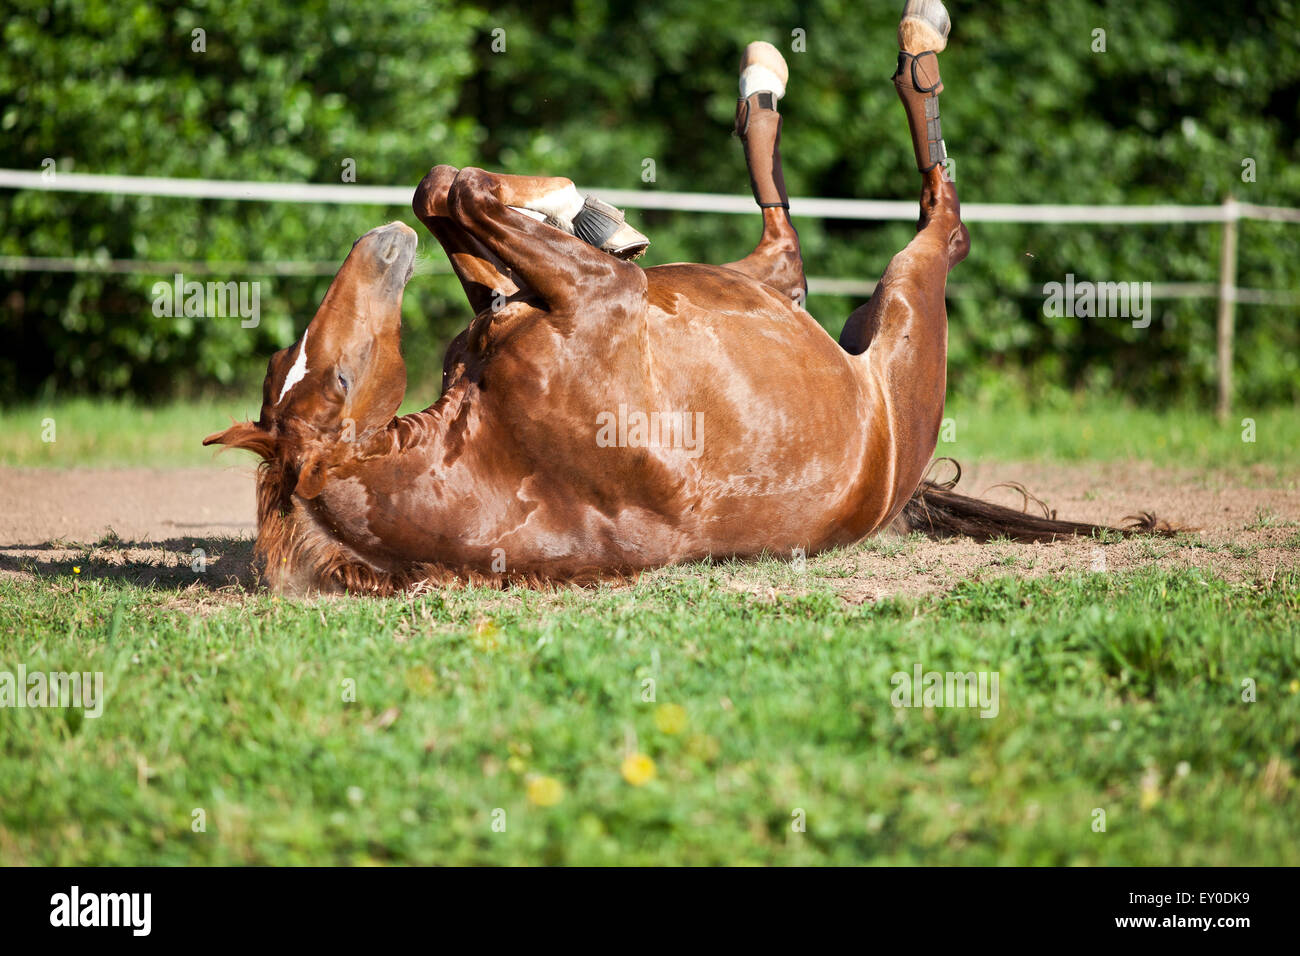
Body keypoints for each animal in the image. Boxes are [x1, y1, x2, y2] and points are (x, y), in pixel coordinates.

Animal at [205, 1, 1164, 595]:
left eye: (302, 365)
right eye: (332, 378)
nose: (378, 249)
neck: (498, 457)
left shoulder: (525, 304)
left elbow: (445, 193)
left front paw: (578, 208)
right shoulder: (602, 296)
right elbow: (463, 193)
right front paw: (576, 206)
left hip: (765, 288)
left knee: (786, 239)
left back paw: (755, 84)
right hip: (902, 307)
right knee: (934, 219)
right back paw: (898, 44)